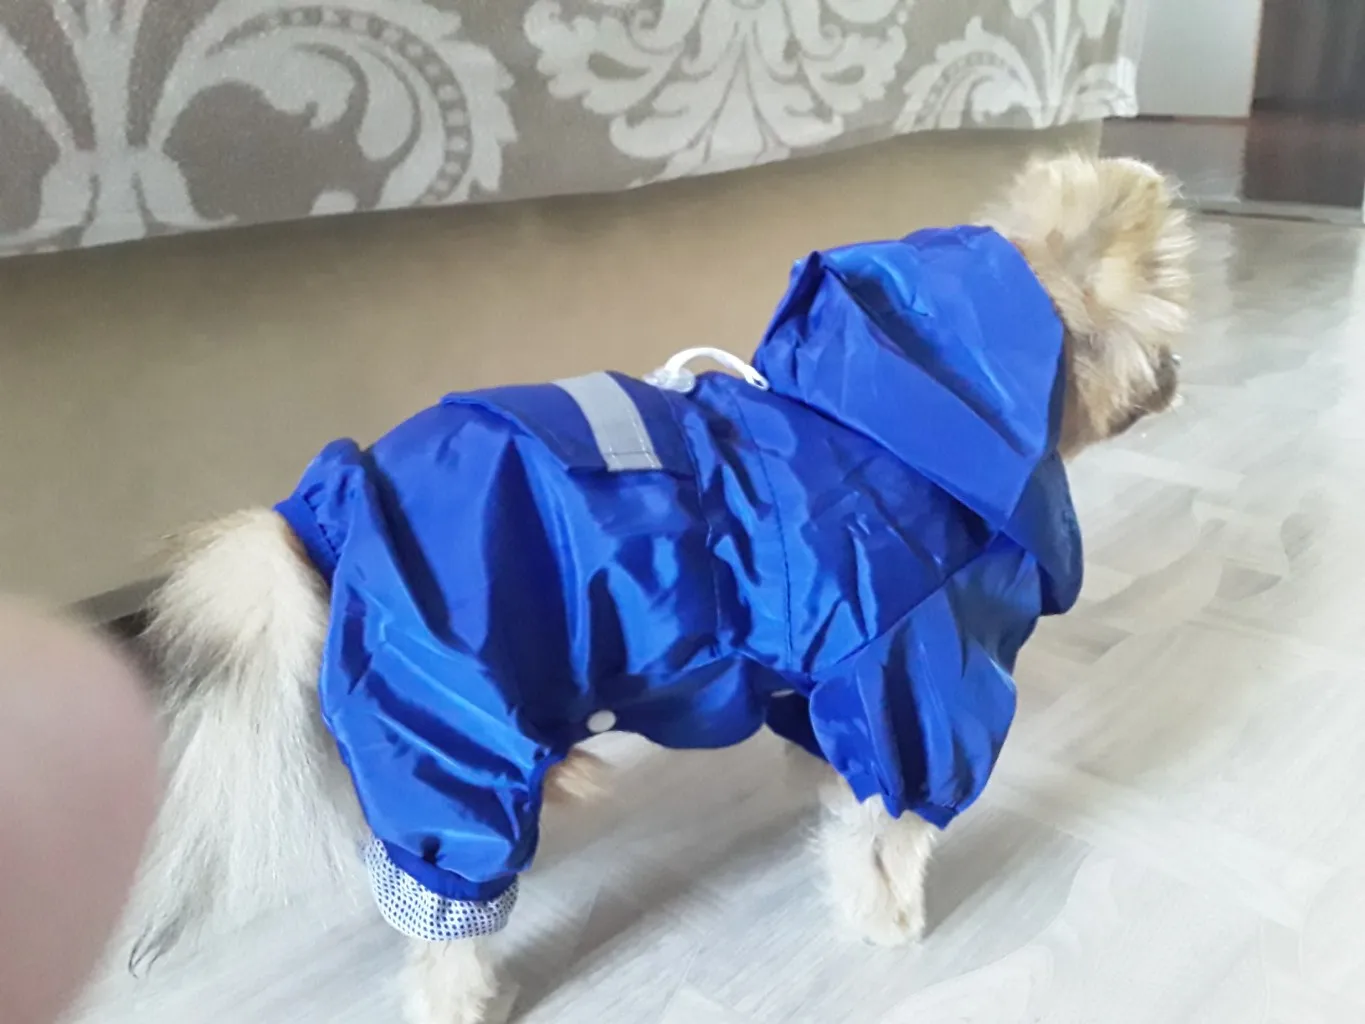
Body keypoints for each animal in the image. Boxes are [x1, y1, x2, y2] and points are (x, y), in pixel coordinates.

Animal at [122, 153, 1193, 1024]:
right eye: (1163, 335)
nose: (1177, 380)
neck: (915, 407)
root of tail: (331, 499)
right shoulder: (911, 682)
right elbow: (892, 832)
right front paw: (887, 921)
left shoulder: (827, 676)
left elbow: (837, 788)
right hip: (458, 726)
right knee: (444, 910)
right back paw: (469, 992)